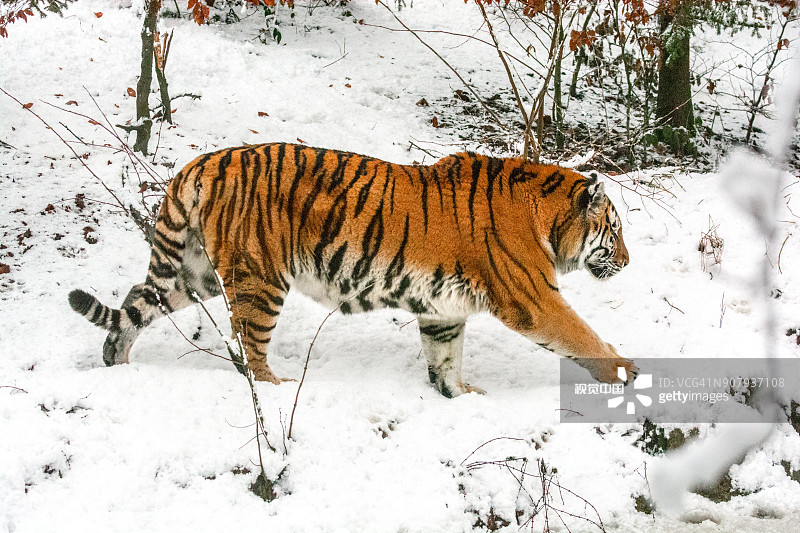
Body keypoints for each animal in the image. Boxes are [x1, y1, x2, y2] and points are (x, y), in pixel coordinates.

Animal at [69, 143, 636, 396]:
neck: (546, 216)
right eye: (615, 229)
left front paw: (458, 394)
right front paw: (623, 369)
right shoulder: (533, 298)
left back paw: (116, 363)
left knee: (135, 305)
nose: (629, 262)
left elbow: (445, 356)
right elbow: (581, 334)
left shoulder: (442, 309)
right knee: (249, 345)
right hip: (259, 280)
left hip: (193, 274)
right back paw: (275, 386)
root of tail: (202, 162)